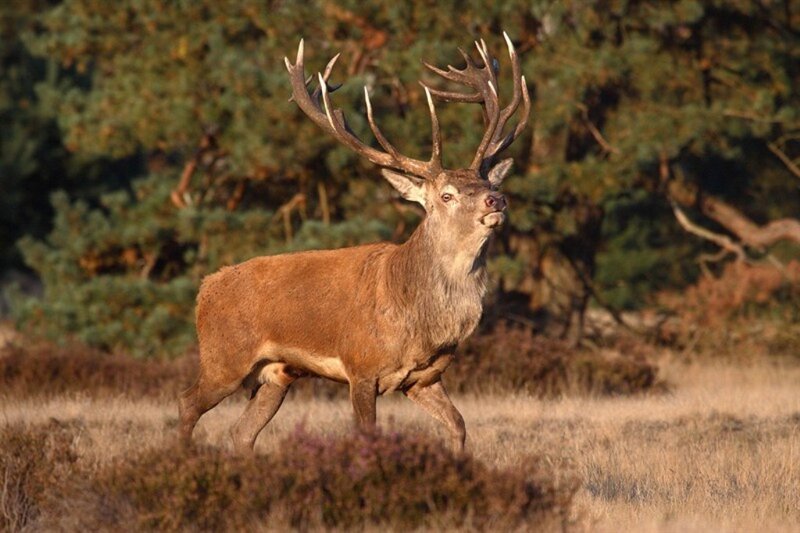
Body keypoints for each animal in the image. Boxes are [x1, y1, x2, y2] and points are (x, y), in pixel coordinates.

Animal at [178, 33, 530, 454]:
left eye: (489, 182)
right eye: (447, 195)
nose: (497, 200)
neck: (418, 318)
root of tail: (204, 288)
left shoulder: (425, 377)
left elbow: (458, 425)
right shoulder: (360, 366)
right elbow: (367, 433)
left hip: (276, 374)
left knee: (242, 432)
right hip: (224, 357)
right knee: (187, 403)